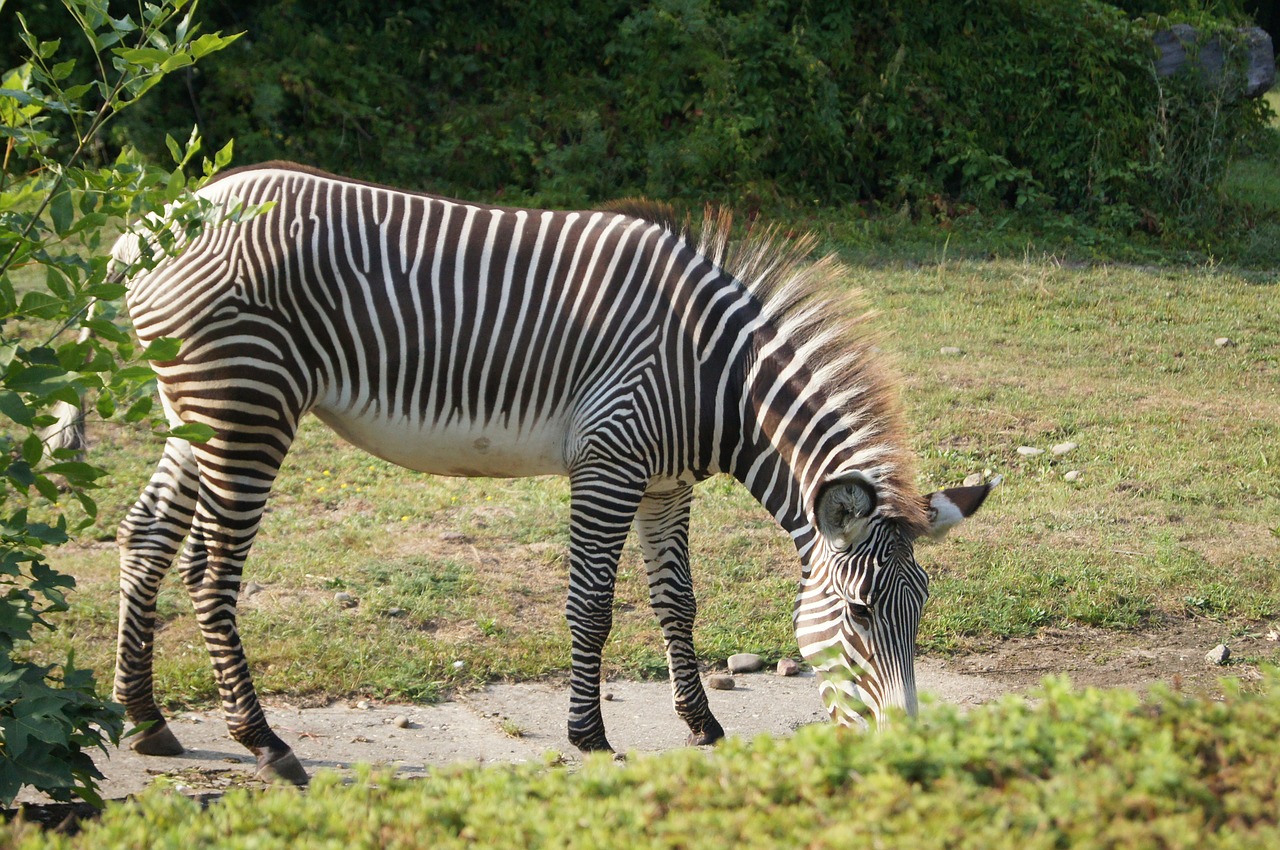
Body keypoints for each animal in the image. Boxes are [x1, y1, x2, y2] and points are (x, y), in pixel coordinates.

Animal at [94, 162, 993, 788]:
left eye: (921, 612)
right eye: (859, 612)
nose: (905, 747)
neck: (719, 377)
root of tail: (145, 232)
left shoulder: (665, 483)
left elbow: (677, 602)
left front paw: (701, 724)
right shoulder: (609, 461)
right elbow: (591, 605)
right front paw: (589, 736)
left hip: (195, 408)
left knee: (145, 536)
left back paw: (147, 719)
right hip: (247, 405)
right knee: (210, 571)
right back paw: (264, 742)